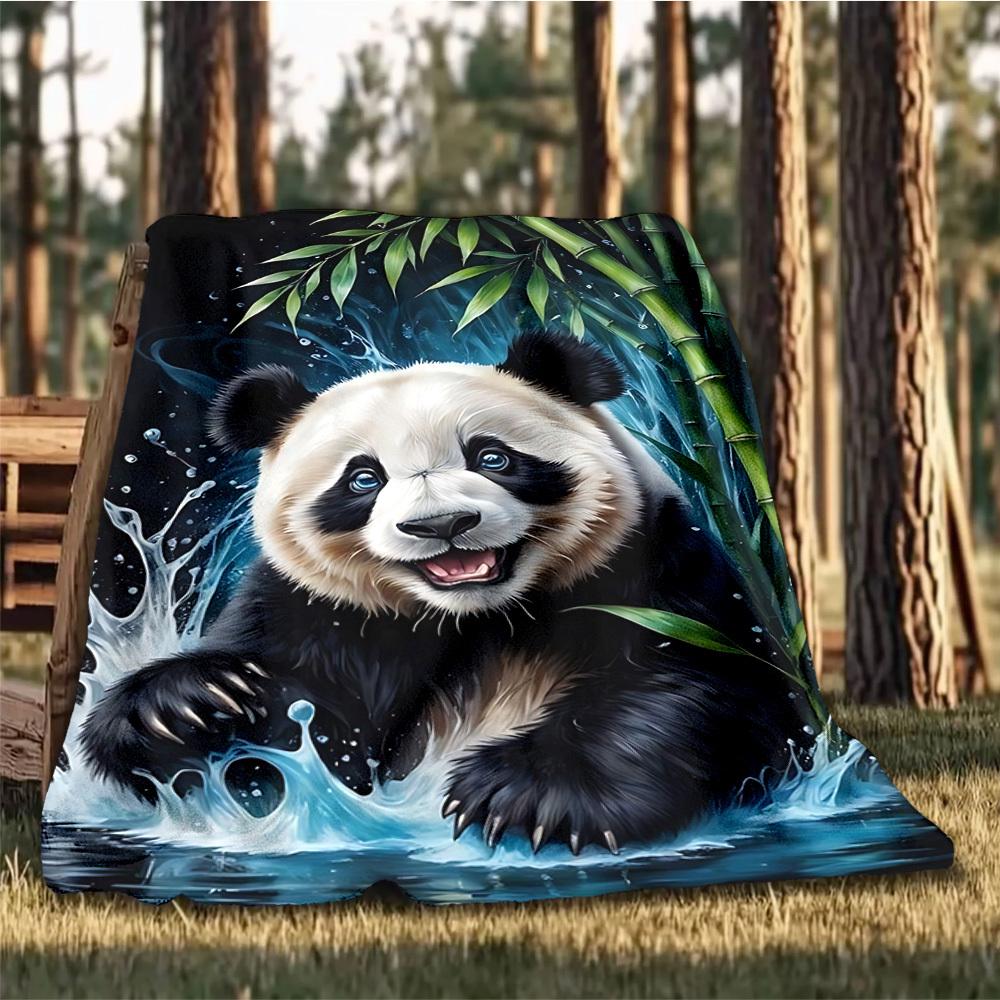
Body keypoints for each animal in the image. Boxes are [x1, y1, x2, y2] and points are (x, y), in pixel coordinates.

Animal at [81, 331, 807, 854]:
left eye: (492, 457)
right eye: (363, 478)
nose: (442, 525)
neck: (477, 616)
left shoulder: (653, 567)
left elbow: (699, 687)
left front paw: (527, 795)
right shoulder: (318, 610)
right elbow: (302, 725)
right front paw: (189, 707)